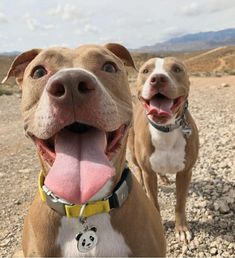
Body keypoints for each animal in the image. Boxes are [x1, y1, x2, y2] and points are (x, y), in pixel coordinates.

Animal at [129, 57, 198, 244]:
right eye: (146, 70)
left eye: (177, 69)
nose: (158, 78)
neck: (165, 130)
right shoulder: (149, 173)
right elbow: (154, 201)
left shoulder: (185, 172)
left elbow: (180, 203)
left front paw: (181, 228)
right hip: (133, 152)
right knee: (138, 168)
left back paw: (165, 178)